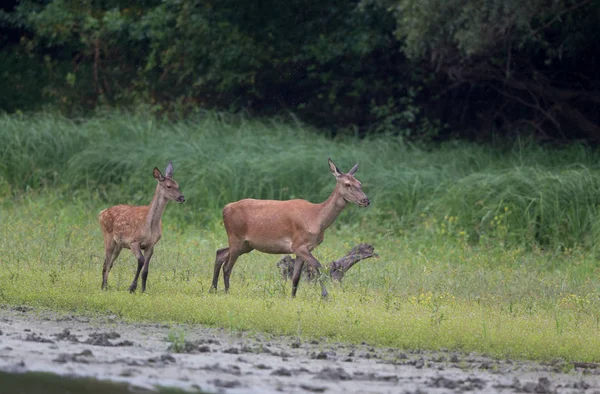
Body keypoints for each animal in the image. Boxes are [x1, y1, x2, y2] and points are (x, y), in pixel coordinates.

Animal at [99, 161, 184, 292]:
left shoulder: (151, 245)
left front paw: (143, 290)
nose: (182, 198)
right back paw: (104, 287)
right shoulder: (133, 241)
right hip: (108, 237)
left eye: (178, 185)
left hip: (119, 244)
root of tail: (101, 213)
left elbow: (146, 270)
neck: (149, 225)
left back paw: (106, 285)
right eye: (169, 186)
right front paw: (132, 288)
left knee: (109, 263)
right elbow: (141, 261)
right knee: (106, 263)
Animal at [211, 159, 370, 298]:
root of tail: (225, 208)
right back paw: (226, 291)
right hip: (236, 237)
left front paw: (292, 297)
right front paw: (325, 295)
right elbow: (317, 265)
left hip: (246, 244)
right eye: (348, 184)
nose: (366, 200)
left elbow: (296, 277)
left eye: (360, 183)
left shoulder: (302, 249)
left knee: (220, 253)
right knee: (227, 266)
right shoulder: (298, 245)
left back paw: (212, 288)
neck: (317, 219)